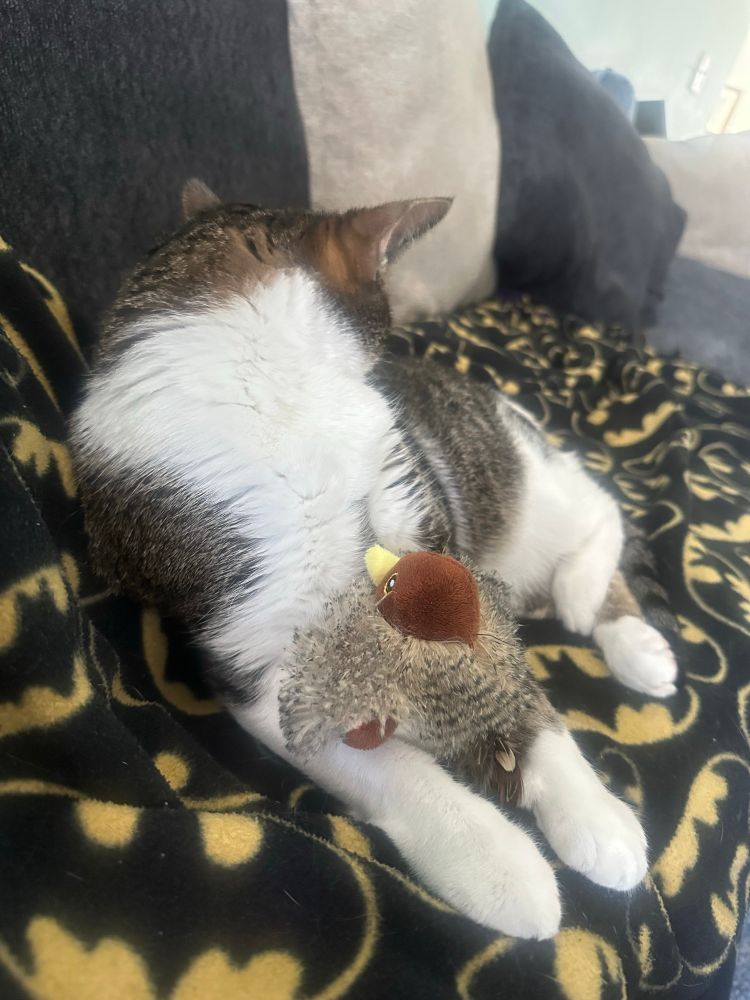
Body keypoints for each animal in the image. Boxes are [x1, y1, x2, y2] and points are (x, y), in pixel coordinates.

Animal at [70, 180, 678, 939]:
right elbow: (383, 763)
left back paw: (601, 608)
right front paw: (497, 861)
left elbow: (521, 695)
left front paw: (592, 813)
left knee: (602, 510)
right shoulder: (256, 650)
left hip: (519, 487)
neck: (272, 394)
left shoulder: (431, 531)